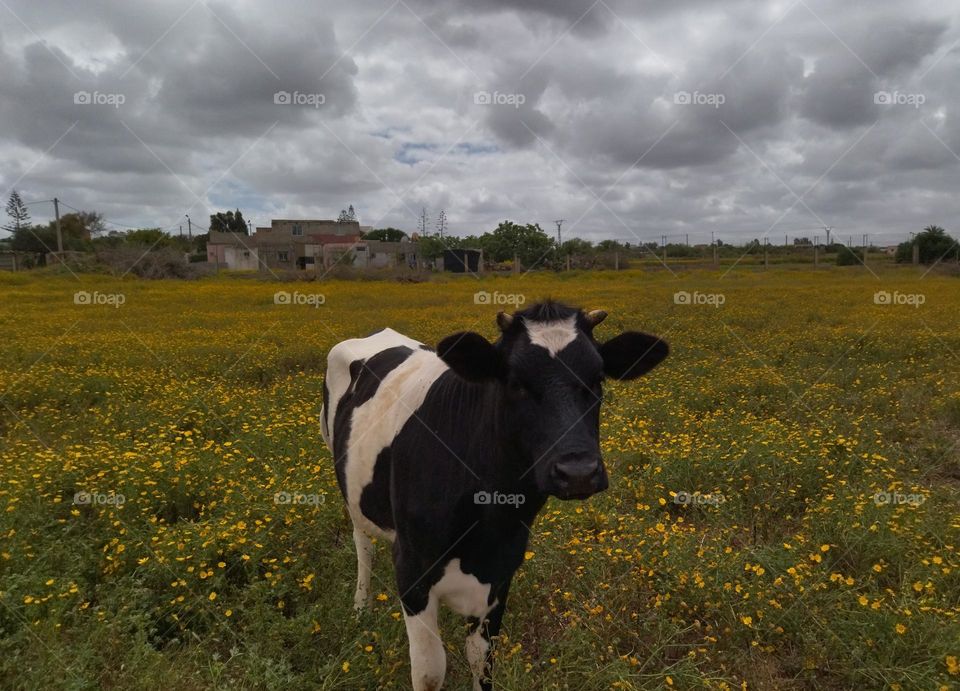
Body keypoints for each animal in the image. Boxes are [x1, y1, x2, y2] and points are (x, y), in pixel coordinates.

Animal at [319, 301, 668, 691]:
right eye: (514, 382)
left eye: (597, 380)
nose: (578, 471)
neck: (489, 519)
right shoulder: (412, 570)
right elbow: (429, 672)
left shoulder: (501, 571)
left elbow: (482, 661)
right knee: (362, 543)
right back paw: (361, 606)